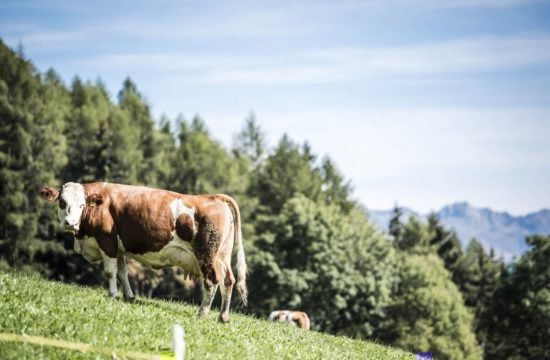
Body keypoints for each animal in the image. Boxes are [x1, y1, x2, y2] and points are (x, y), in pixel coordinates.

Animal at [38, 181, 246, 322]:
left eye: (81, 205)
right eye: (62, 202)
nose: (70, 223)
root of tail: (214, 197)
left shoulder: (107, 241)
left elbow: (110, 272)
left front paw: (113, 294)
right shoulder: (119, 248)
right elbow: (122, 272)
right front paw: (129, 296)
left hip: (207, 255)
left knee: (212, 281)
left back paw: (202, 313)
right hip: (222, 256)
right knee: (229, 280)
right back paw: (223, 317)